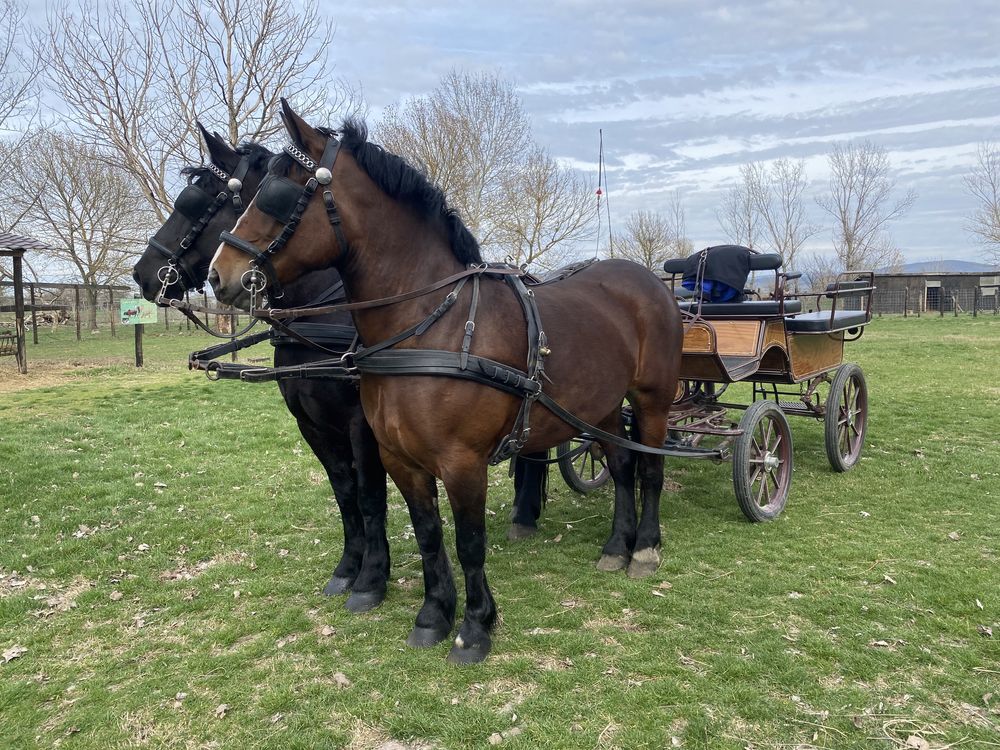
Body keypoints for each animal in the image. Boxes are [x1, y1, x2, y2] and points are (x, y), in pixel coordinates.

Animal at [131, 128, 548, 612]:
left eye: (200, 202)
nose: (142, 274)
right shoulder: (312, 425)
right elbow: (344, 495)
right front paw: (348, 569)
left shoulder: (360, 426)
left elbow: (369, 498)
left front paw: (371, 579)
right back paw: (524, 515)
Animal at [207, 100, 684, 664]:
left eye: (278, 194)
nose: (219, 275)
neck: (431, 326)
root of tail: (648, 279)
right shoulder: (399, 459)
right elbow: (429, 535)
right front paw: (433, 615)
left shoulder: (462, 462)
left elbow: (468, 543)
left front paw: (475, 627)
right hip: (603, 406)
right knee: (622, 466)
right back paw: (616, 547)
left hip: (653, 401)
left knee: (650, 470)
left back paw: (645, 549)